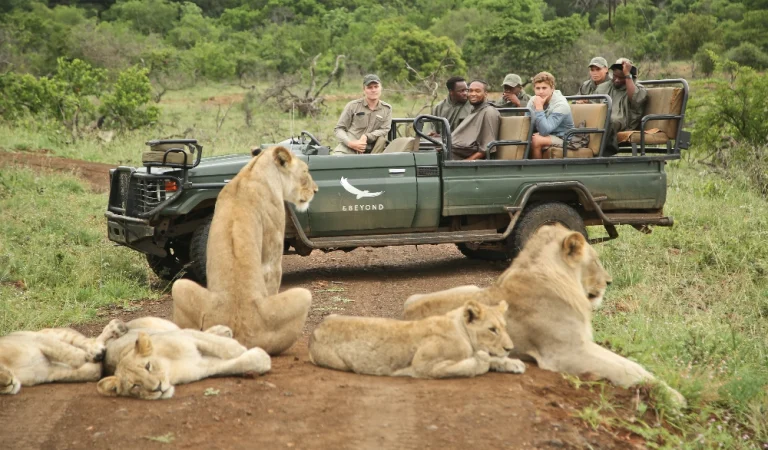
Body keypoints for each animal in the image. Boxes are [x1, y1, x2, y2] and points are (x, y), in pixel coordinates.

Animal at [97, 317, 271, 400]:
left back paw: (223, 330)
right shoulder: (202, 367)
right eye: (135, 386)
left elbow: (221, 345)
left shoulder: (187, 336)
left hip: (163, 325)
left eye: (148, 366)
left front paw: (239, 349)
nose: (158, 388)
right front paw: (260, 358)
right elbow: (238, 364)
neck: (170, 368)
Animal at [172, 146, 318, 355]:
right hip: (303, 296)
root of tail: (238, 333)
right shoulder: (273, 253)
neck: (253, 170)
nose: (316, 190)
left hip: (180, 287)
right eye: (306, 171)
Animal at [309, 300, 525, 378]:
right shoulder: (423, 366)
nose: (510, 347)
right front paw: (483, 360)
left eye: (504, 328)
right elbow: (473, 365)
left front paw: (513, 362)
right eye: (492, 330)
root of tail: (316, 329)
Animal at [403, 224, 685, 405]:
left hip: (469, 288)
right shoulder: (566, 352)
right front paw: (674, 398)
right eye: (595, 260)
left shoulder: (582, 343)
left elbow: (631, 365)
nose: (609, 282)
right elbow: (622, 371)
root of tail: (404, 315)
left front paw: (665, 389)